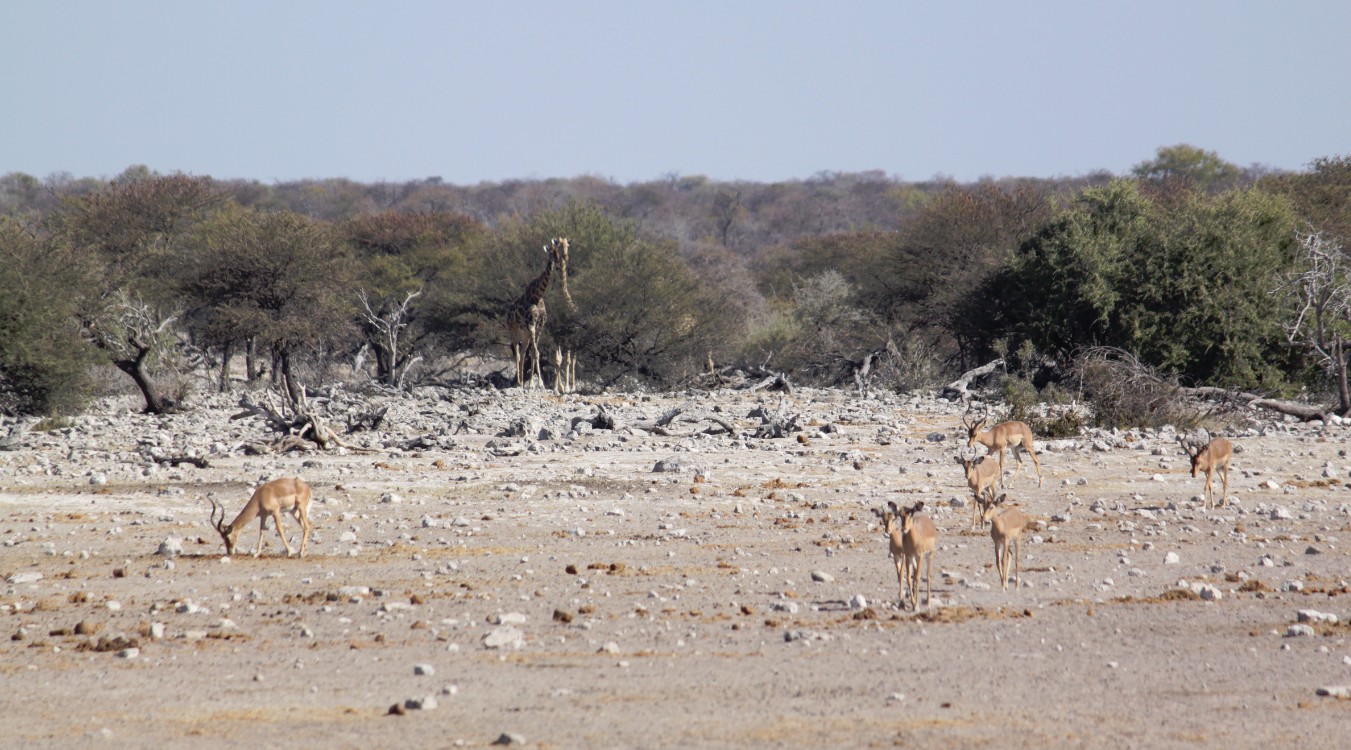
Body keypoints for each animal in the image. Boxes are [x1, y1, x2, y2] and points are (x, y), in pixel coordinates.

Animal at [507, 237, 570, 389]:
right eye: (552, 253)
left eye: (559, 252)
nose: (559, 263)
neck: (537, 295)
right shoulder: (531, 323)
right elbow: (535, 352)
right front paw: (536, 383)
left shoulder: (540, 325)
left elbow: (536, 352)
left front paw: (535, 383)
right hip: (513, 330)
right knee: (517, 352)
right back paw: (519, 382)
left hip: (524, 335)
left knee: (523, 352)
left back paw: (521, 382)